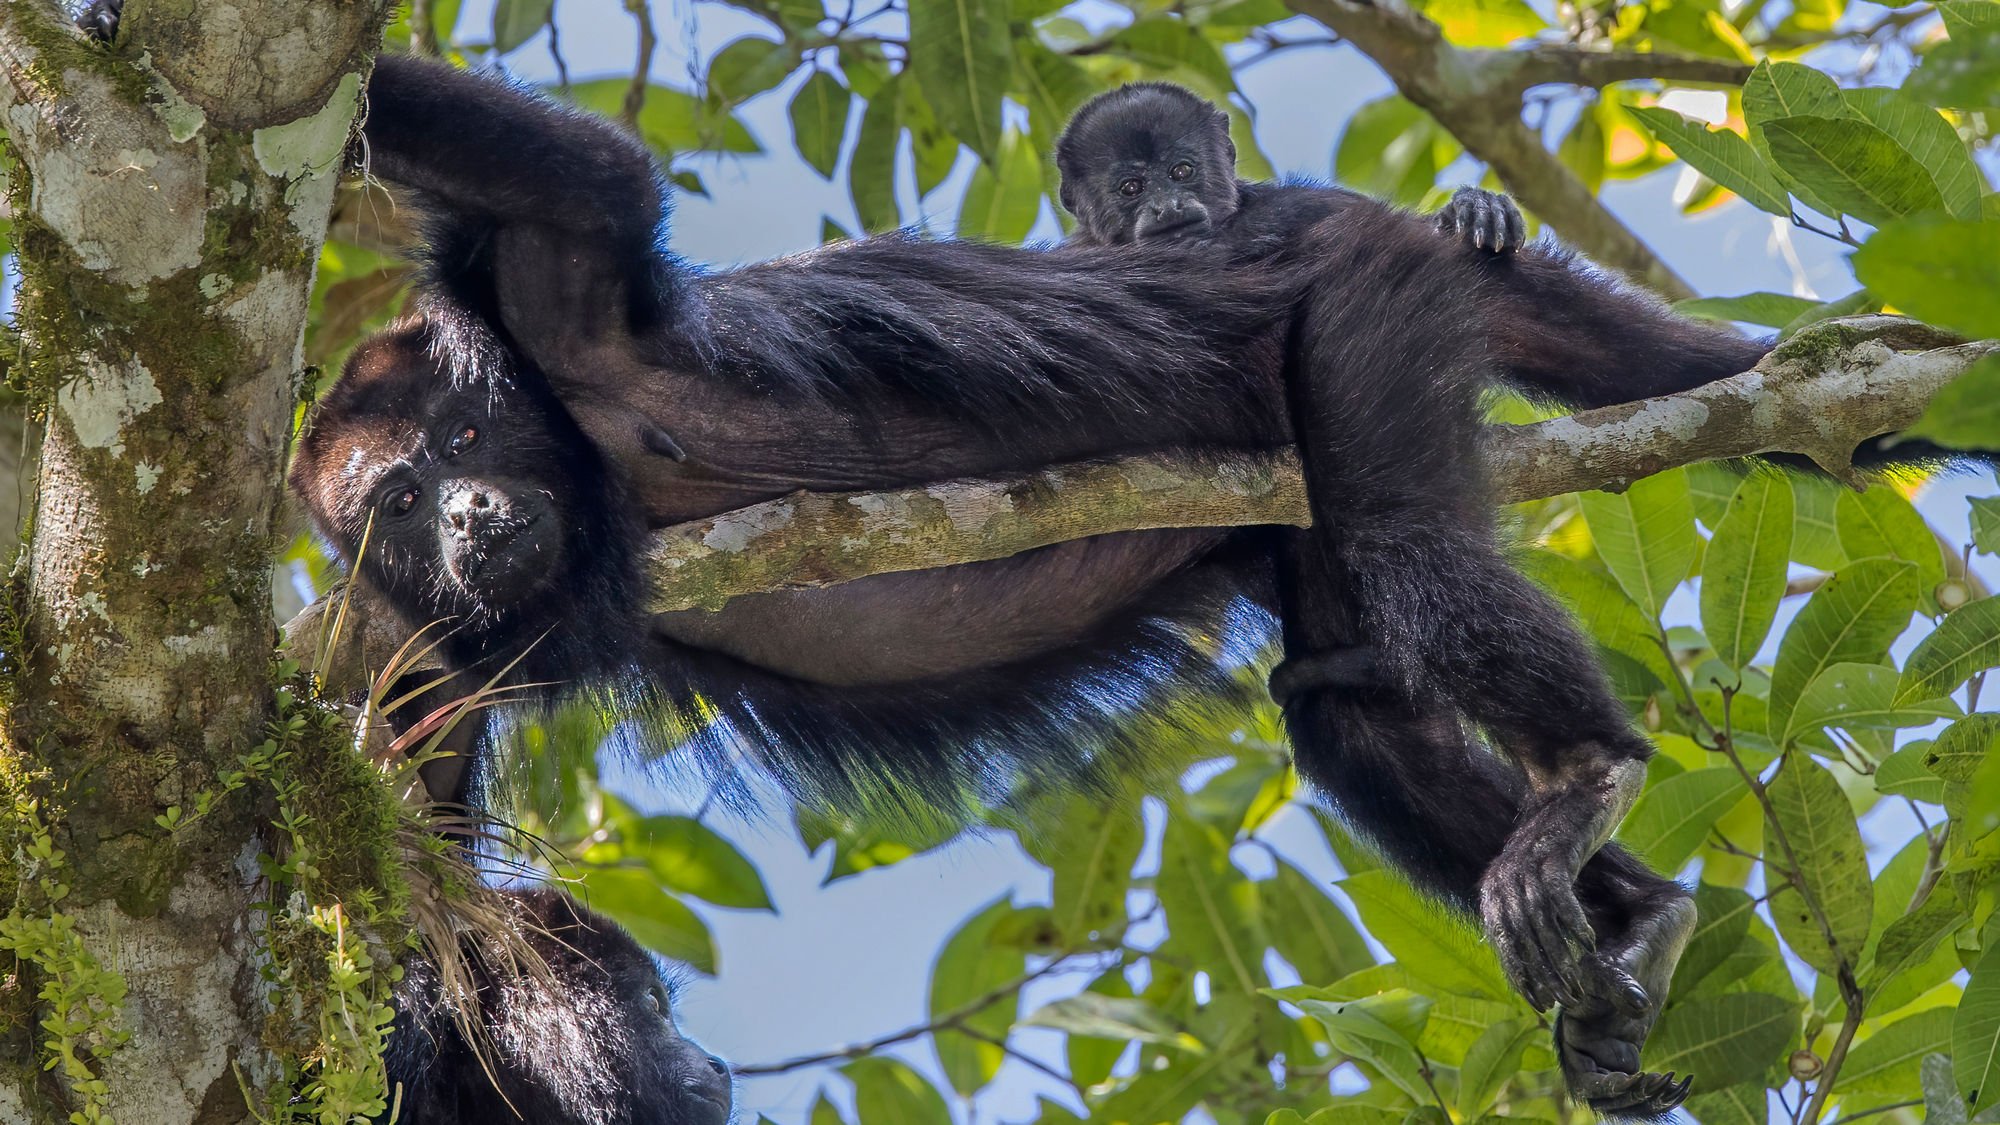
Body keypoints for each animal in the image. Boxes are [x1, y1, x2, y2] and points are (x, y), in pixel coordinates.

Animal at [282, 54, 1800, 1112]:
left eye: (461, 442)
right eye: (398, 504)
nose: (472, 518)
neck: (579, 459)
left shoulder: (563, 319)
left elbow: (585, 177)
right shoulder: (417, 652)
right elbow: (421, 897)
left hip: (1362, 298)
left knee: (1407, 551)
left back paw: (1590, 775)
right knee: (1344, 697)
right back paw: (1635, 919)